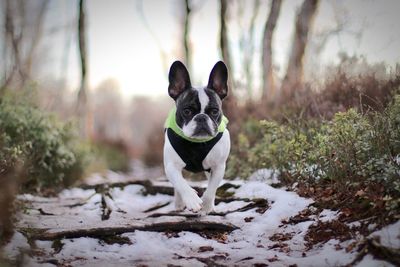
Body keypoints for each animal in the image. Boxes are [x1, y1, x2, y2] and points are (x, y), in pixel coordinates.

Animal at [163, 59, 231, 215]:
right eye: (187, 111)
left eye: (214, 111)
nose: (201, 118)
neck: (197, 143)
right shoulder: (171, 166)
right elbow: (180, 183)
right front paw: (191, 200)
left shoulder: (218, 167)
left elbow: (211, 189)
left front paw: (206, 206)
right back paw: (179, 203)